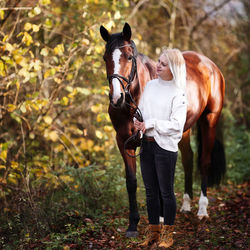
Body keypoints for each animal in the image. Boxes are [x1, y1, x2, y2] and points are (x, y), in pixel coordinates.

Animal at [100, 22, 227, 237]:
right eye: (105, 58)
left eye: (129, 57)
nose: (117, 98)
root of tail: (209, 64)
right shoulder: (124, 141)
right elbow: (131, 182)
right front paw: (133, 225)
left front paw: (159, 218)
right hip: (184, 129)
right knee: (188, 159)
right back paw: (186, 205)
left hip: (209, 121)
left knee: (204, 162)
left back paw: (202, 210)